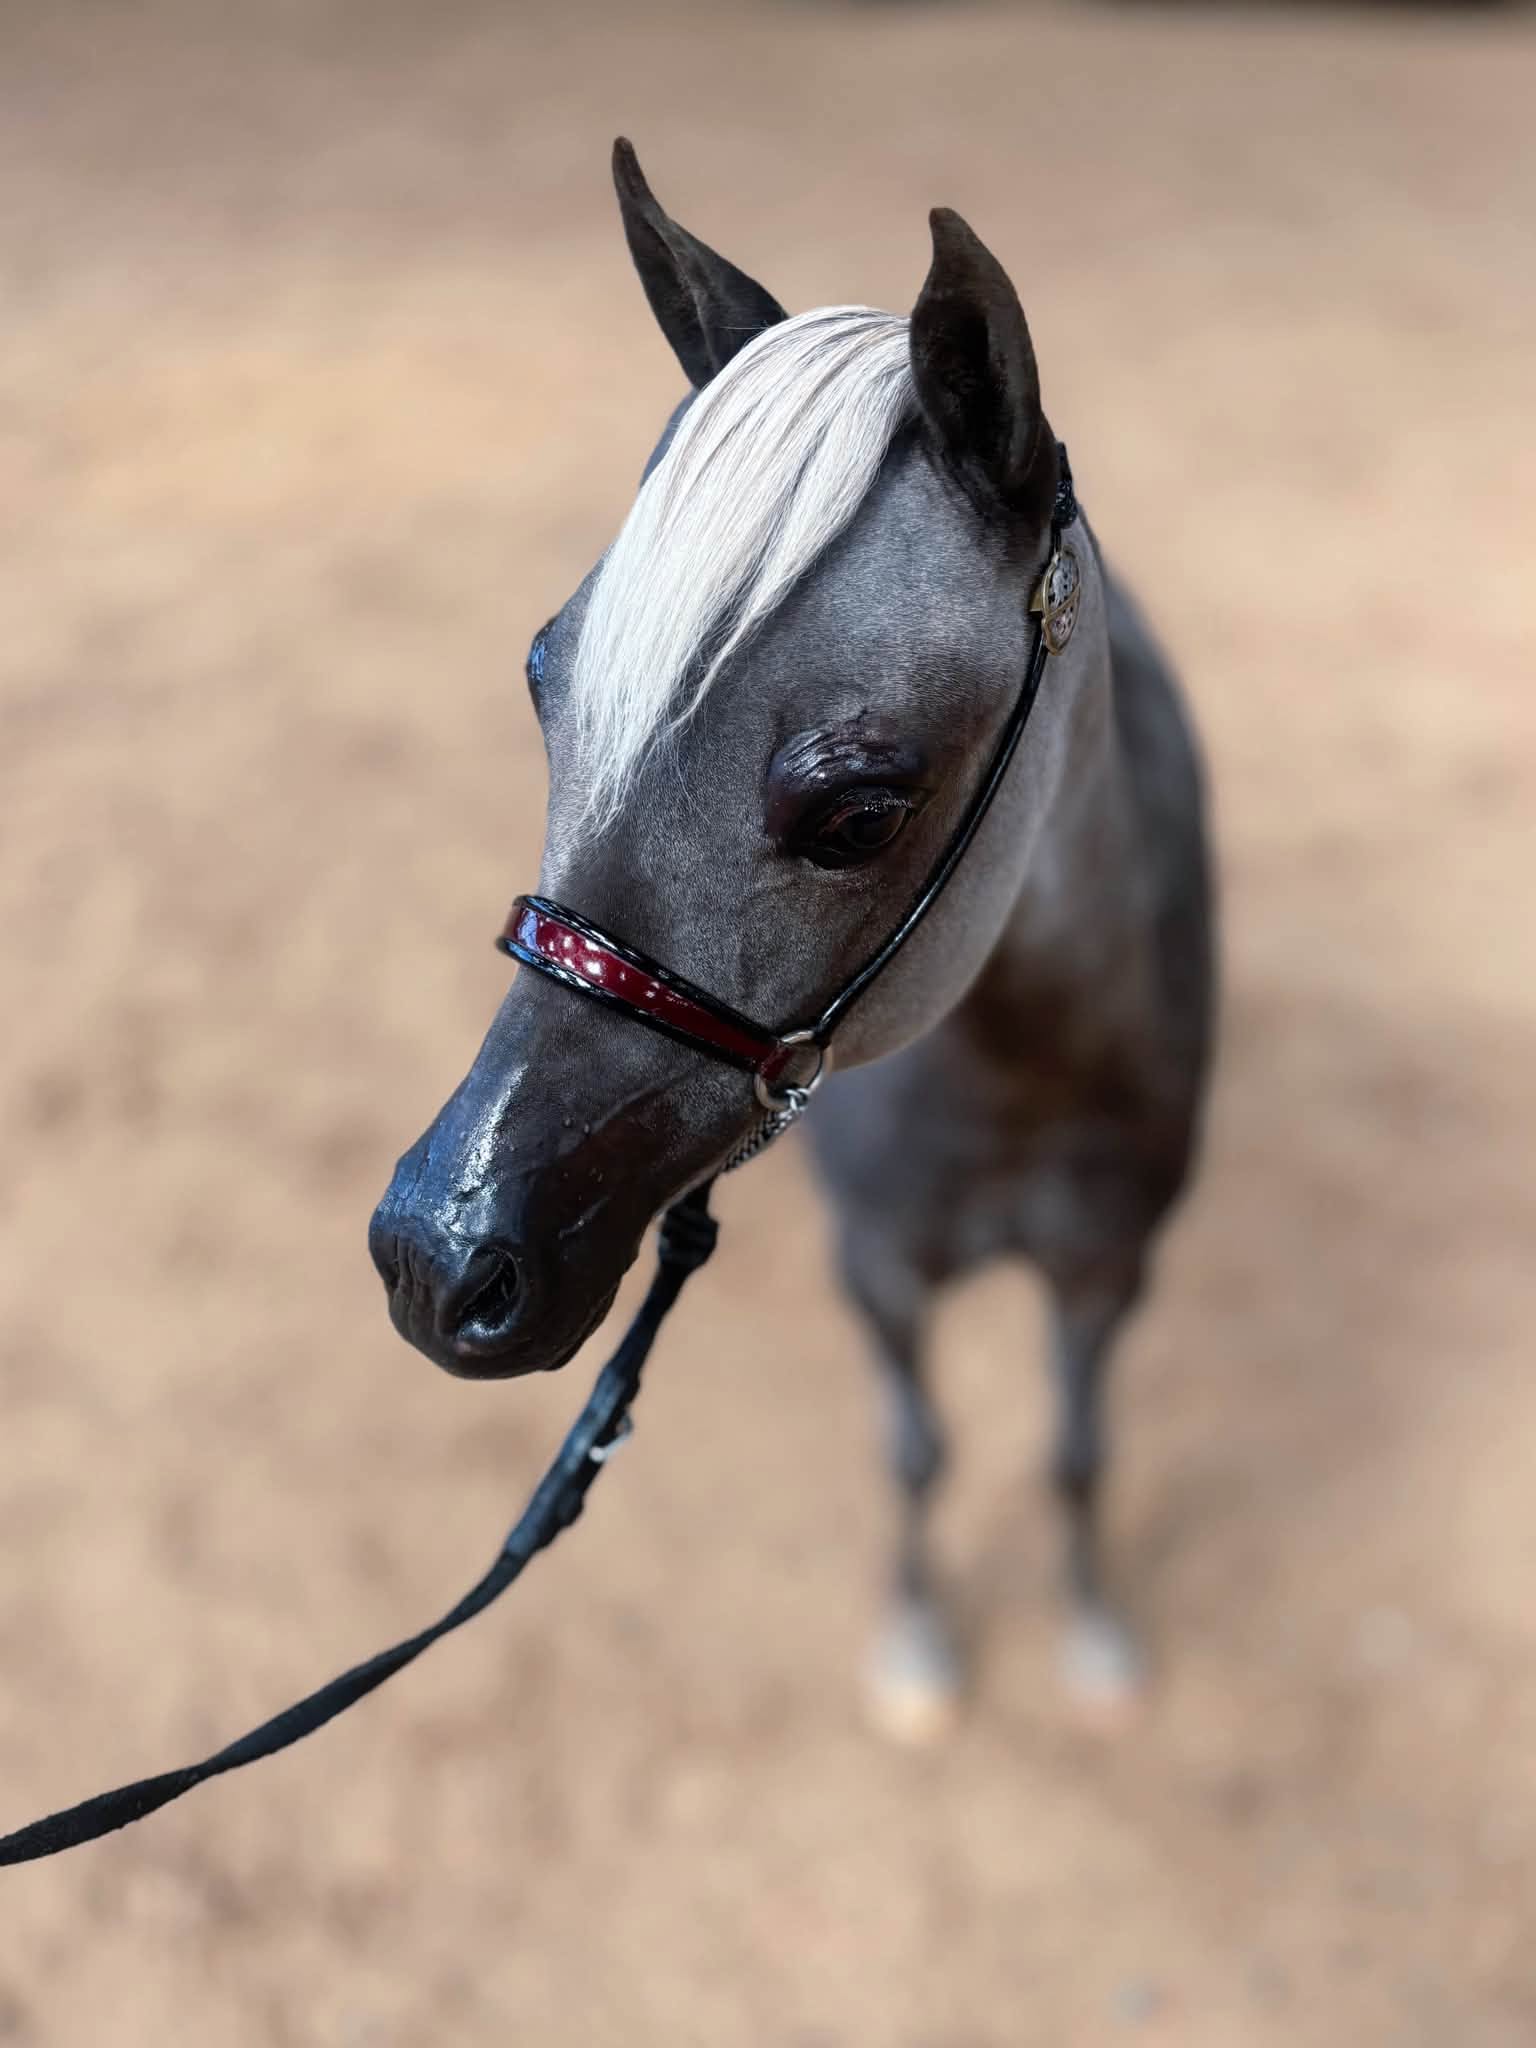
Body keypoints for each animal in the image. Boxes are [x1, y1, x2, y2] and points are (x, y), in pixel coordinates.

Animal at [369, 139, 1215, 1734]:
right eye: (542, 683)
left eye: (860, 811)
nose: (435, 1260)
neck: (1021, 1076)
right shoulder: (880, 1266)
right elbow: (920, 1450)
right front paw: (919, 1645)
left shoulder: (1113, 1264)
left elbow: (1076, 1451)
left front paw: (1093, 1636)